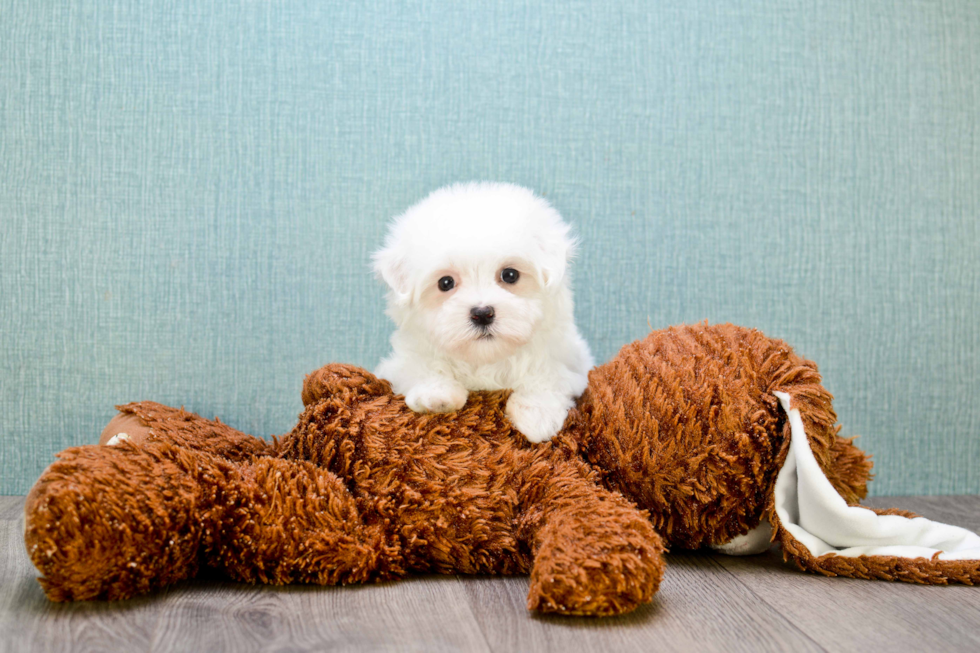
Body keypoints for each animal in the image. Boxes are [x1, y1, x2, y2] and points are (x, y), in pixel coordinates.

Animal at [374, 181, 588, 440]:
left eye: (510, 275)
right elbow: (419, 367)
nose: (483, 313)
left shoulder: (571, 361)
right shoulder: (400, 362)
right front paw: (435, 394)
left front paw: (537, 415)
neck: (485, 358)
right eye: (445, 283)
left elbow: (549, 374)